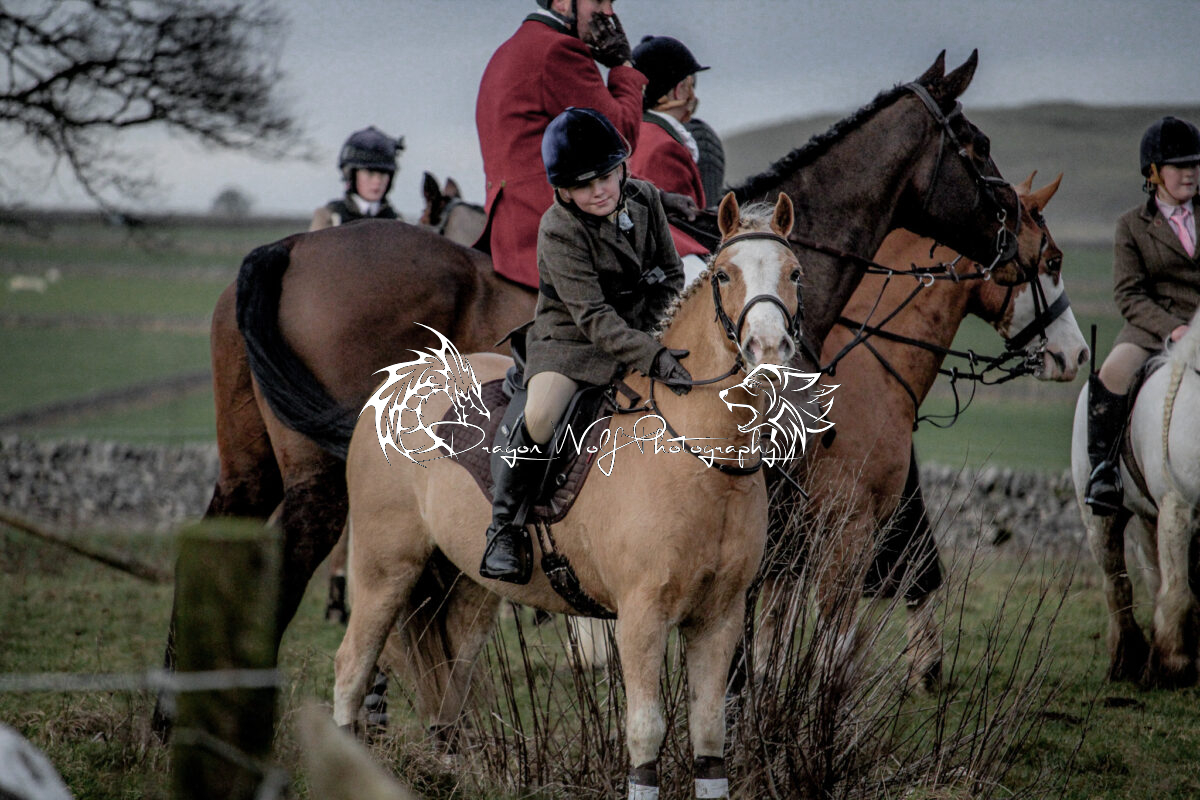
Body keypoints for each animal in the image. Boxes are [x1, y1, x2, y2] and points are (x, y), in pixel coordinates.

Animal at [336, 194, 804, 797]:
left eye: (795, 273)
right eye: (724, 274)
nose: (768, 350)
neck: (698, 452)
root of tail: (392, 386)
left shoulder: (719, 618)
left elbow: (709, 736)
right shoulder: (641, 617)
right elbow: (645, 734)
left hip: (467, 589)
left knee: (450, 681)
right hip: (386, 568)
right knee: (352, 668)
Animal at [1071, 305, 1200, 688]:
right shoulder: (1177, 506)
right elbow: (1179, 590)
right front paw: (1173, 665)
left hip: (1149, 519)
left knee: (1155, 578)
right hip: (1104, 521)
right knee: (1118, 584)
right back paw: (1129, 659)